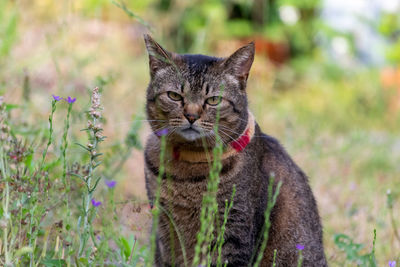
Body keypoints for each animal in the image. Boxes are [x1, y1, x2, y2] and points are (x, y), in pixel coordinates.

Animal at [142, 34, 326, 266]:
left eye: (214, 100)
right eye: (174, 96)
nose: (191, 116)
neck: (187, 168)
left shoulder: (233, 230)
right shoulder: (165, 231)